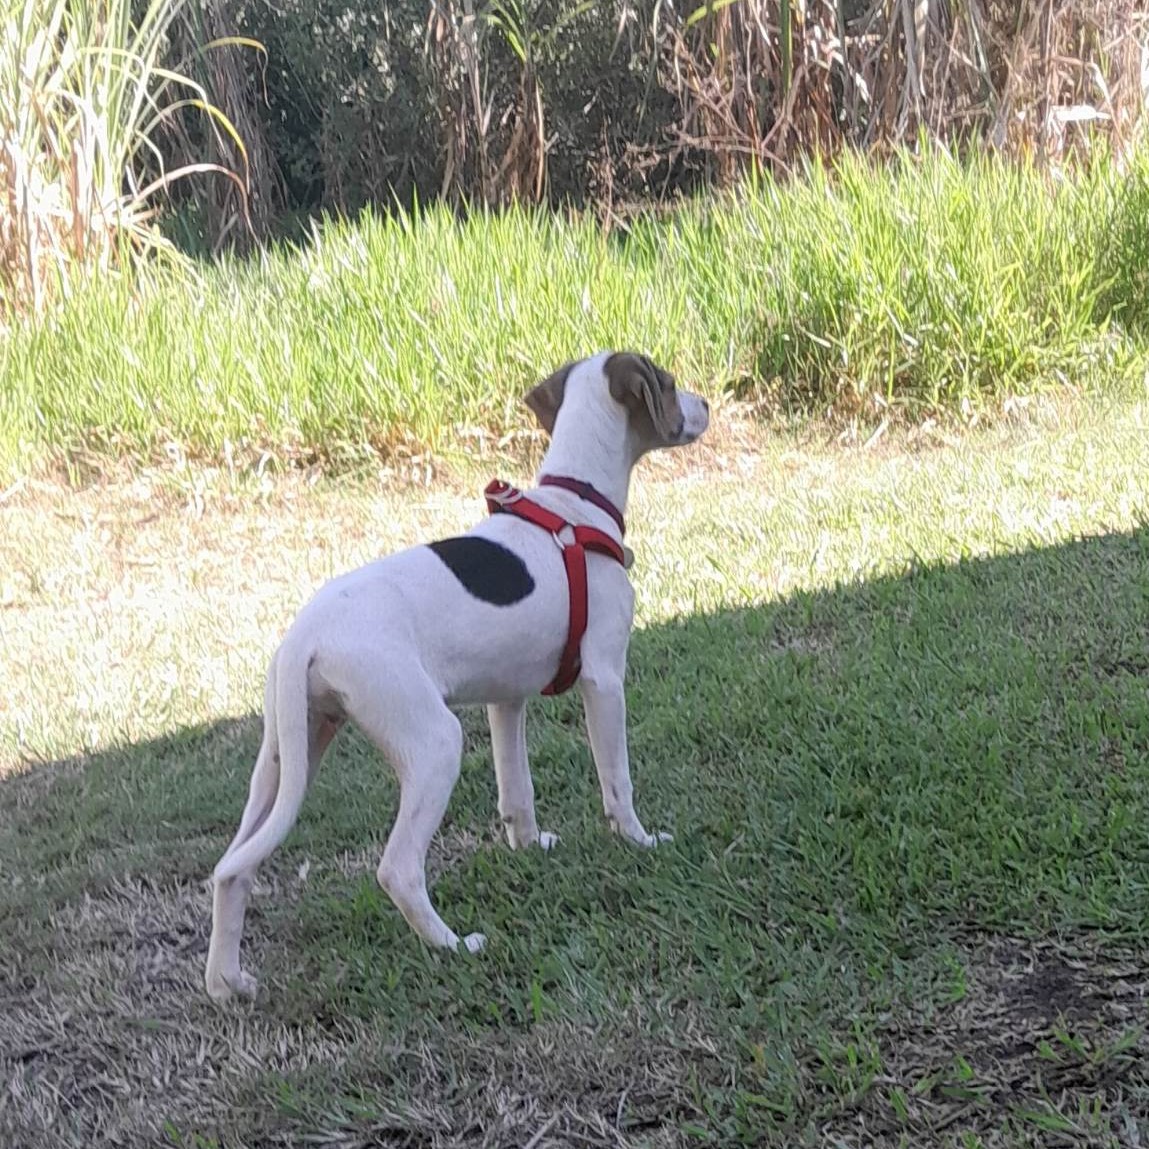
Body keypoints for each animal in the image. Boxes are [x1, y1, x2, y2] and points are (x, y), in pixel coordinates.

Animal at [206, 346, 707, 997]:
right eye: (667, 384)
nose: (707, 405)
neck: (573, 505)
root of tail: (305, 638)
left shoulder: (507, 700)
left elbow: (517, 791)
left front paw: (530, 848)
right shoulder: (603, 678)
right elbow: (617, 781)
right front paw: (639, 841)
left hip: (285, 757)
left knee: (232, 869)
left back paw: (226, 982)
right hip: (433, 741)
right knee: (396, 869)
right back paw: (452, 945)